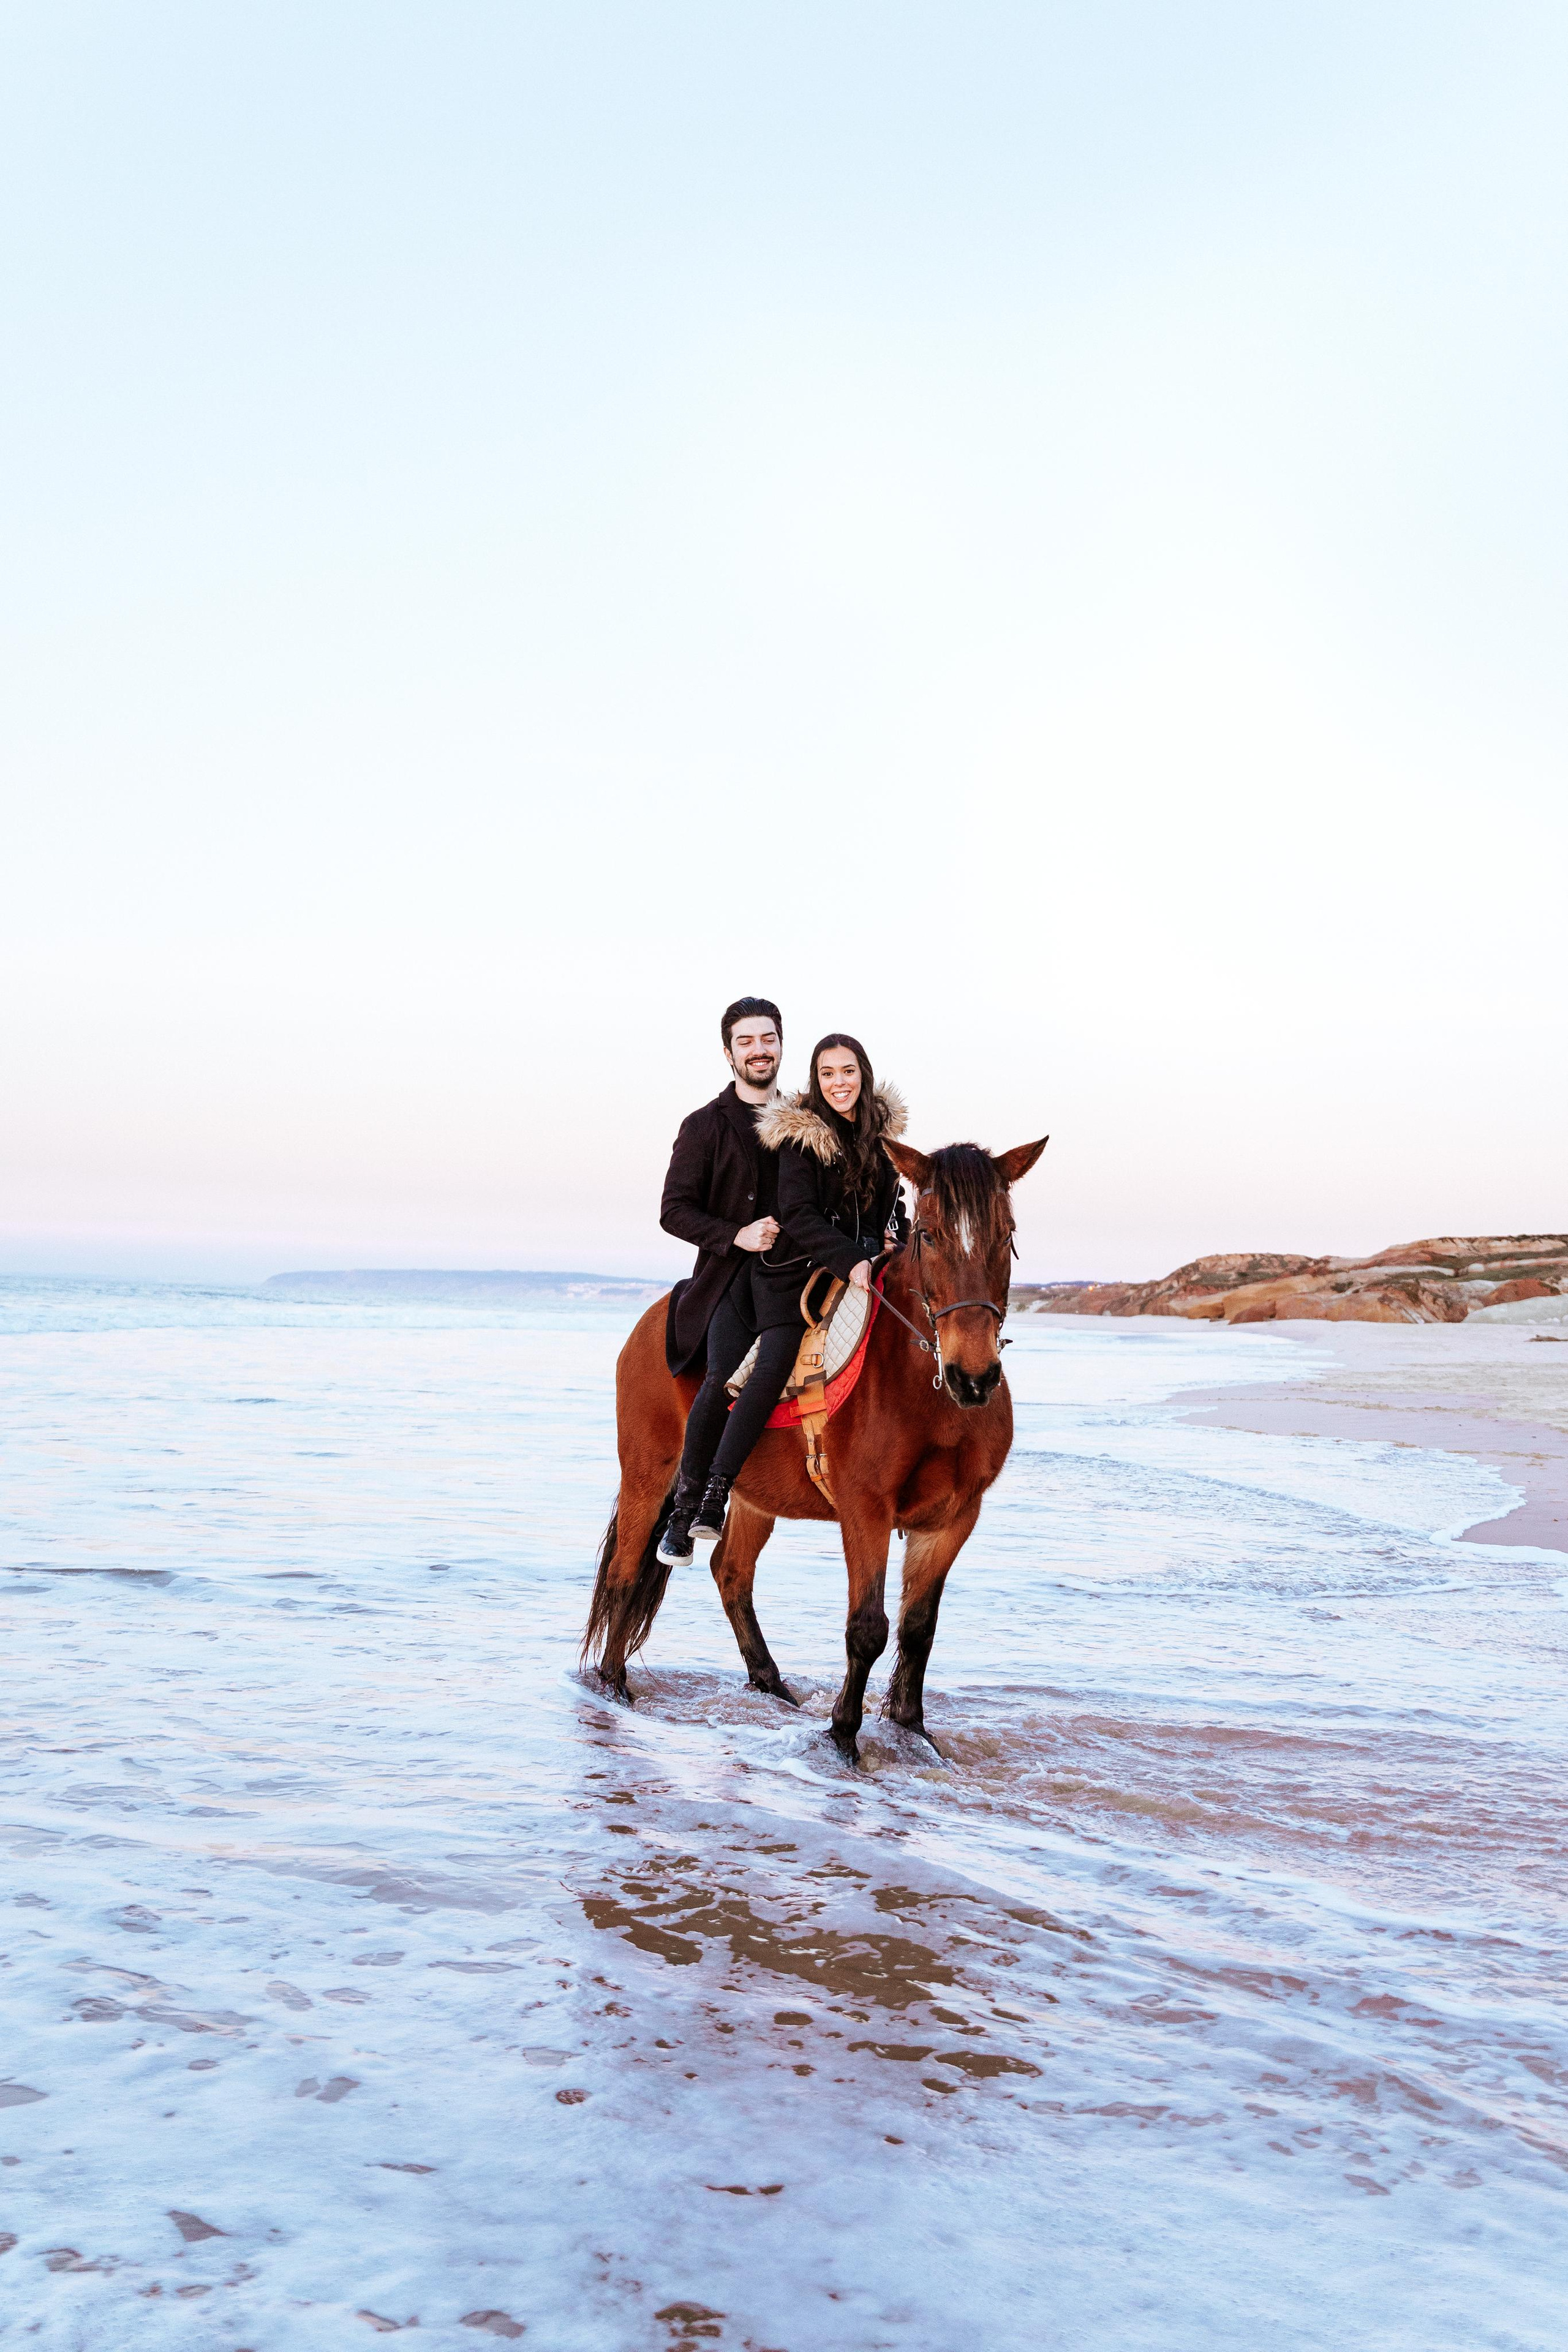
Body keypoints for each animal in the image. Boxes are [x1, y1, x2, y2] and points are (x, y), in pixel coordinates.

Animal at [580, 1131, 1048, 1761]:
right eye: (929, 1234)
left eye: (1007, 1232)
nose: (972, 1377)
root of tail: (657, 1315)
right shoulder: (866, 1509)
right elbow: (868, 1628)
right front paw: (844, 1734)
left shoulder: (954, 1518)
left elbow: (918, 1630)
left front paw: (911, 1729)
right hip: (649, 1474)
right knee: (626, 1574)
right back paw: (614, 1685)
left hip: (750, 1495)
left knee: (731, 1575)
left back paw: (769, 1683)